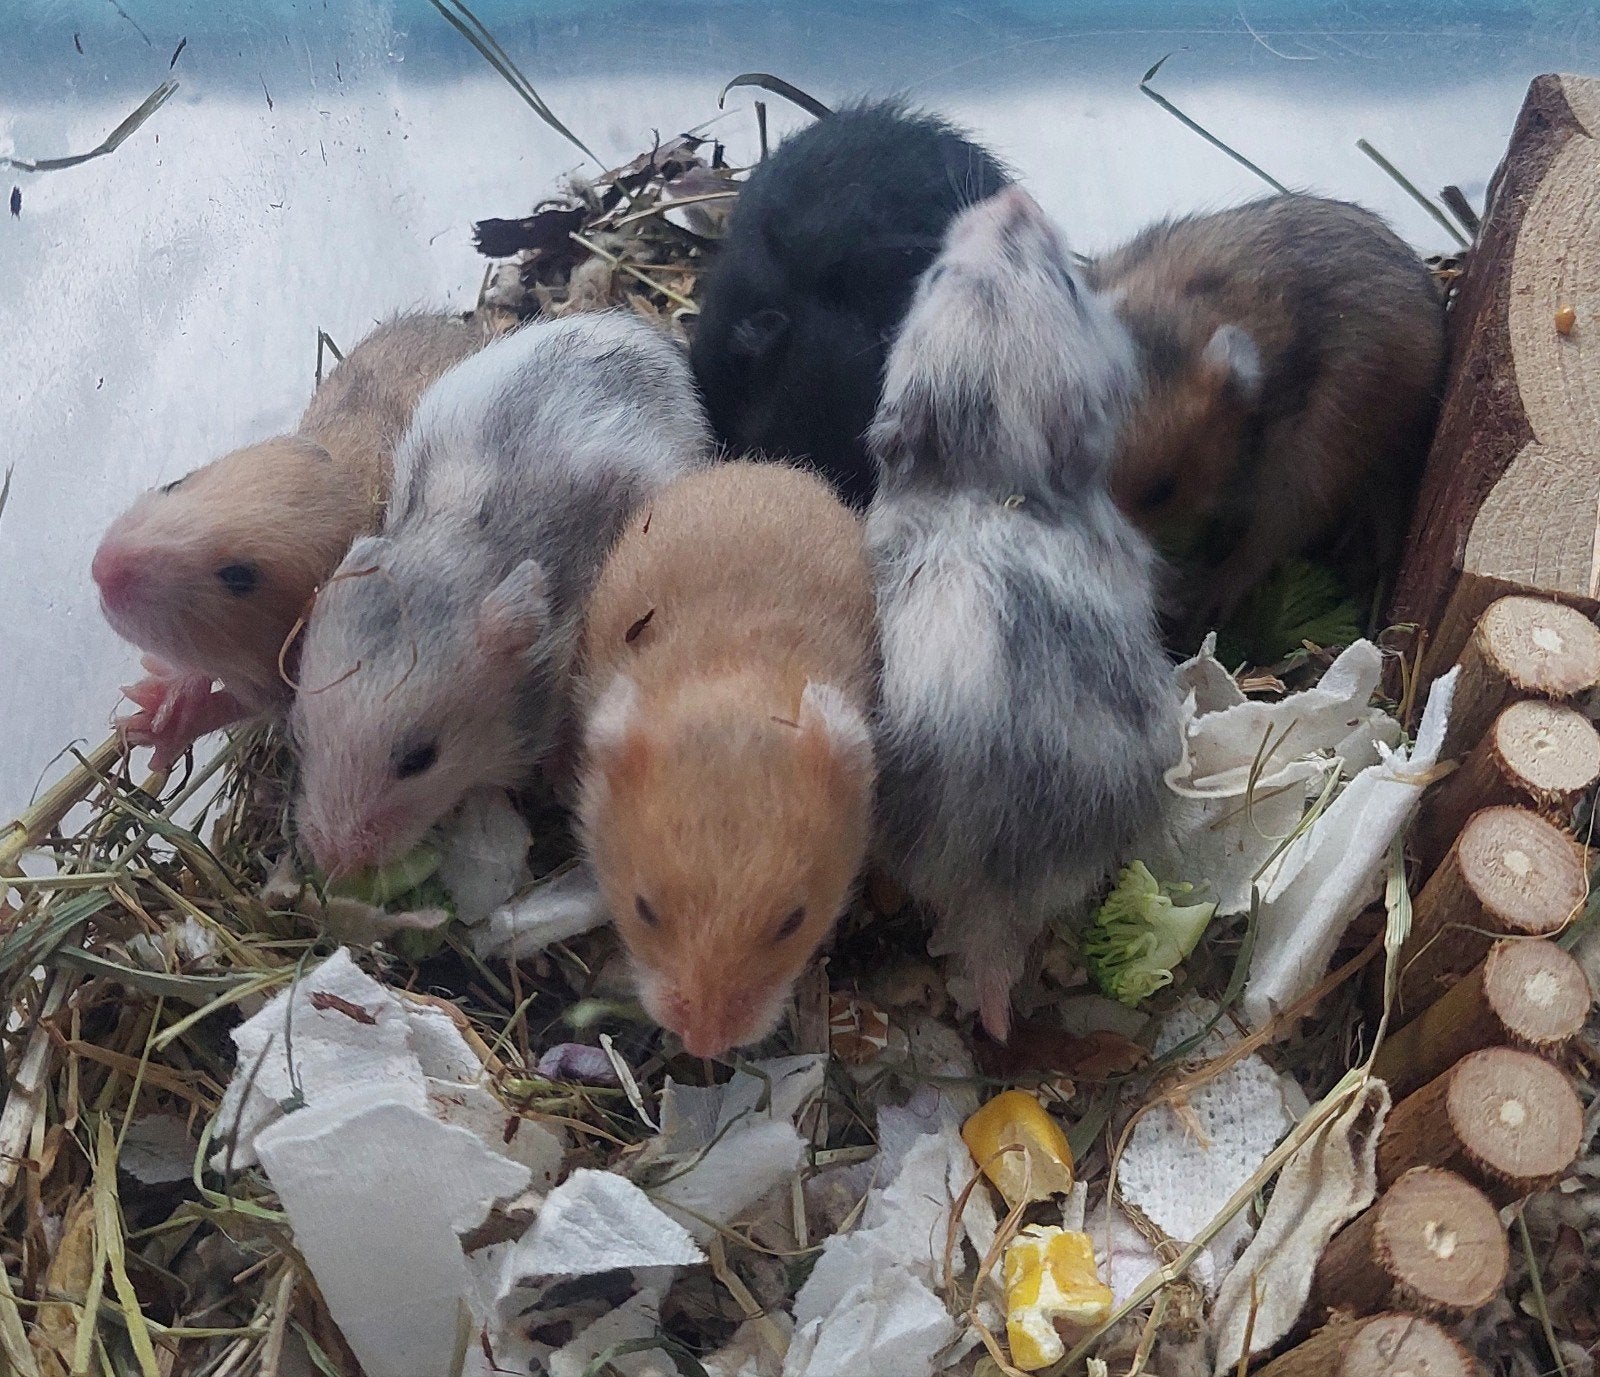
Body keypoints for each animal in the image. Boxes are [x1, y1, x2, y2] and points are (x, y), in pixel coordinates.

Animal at [91, 312, 491, 767]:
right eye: (176, 483)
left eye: (239, 577)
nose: (101, 569)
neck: (350, 488)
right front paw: (159, 701)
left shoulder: (280, 680)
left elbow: (237, 705)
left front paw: (164, 728)